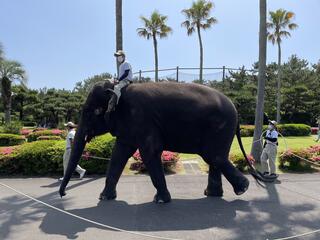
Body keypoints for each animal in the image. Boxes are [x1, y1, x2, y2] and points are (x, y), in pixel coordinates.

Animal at [59, 80, 268, 202]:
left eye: (93, 112)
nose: (63, 194)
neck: (119, 89)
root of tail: (236, 111)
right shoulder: (129, 126)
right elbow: (119, 153)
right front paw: (104, 198)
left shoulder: (141, 118)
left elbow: (149, 151)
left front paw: (160, 200)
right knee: (215, 158)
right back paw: (214, 194)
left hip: (220, 127)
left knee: (214, 157)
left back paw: (242, 189)